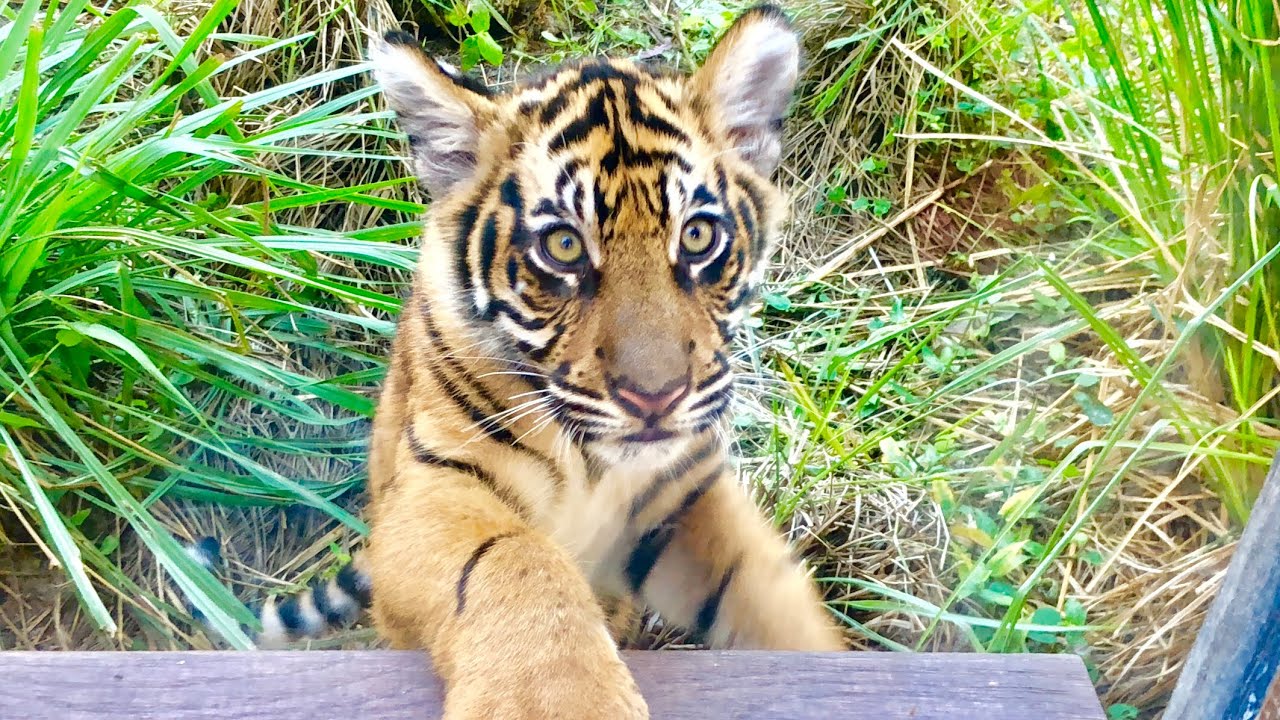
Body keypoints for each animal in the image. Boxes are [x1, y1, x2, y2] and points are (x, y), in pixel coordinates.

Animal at [227, 5, 846, 718]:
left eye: (697, 235)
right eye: (564, 246)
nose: (655, 397)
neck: (595, 469)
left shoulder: (689, 494)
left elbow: (772, 594)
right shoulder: (433, 489)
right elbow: (514, 559)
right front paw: (564, 700)